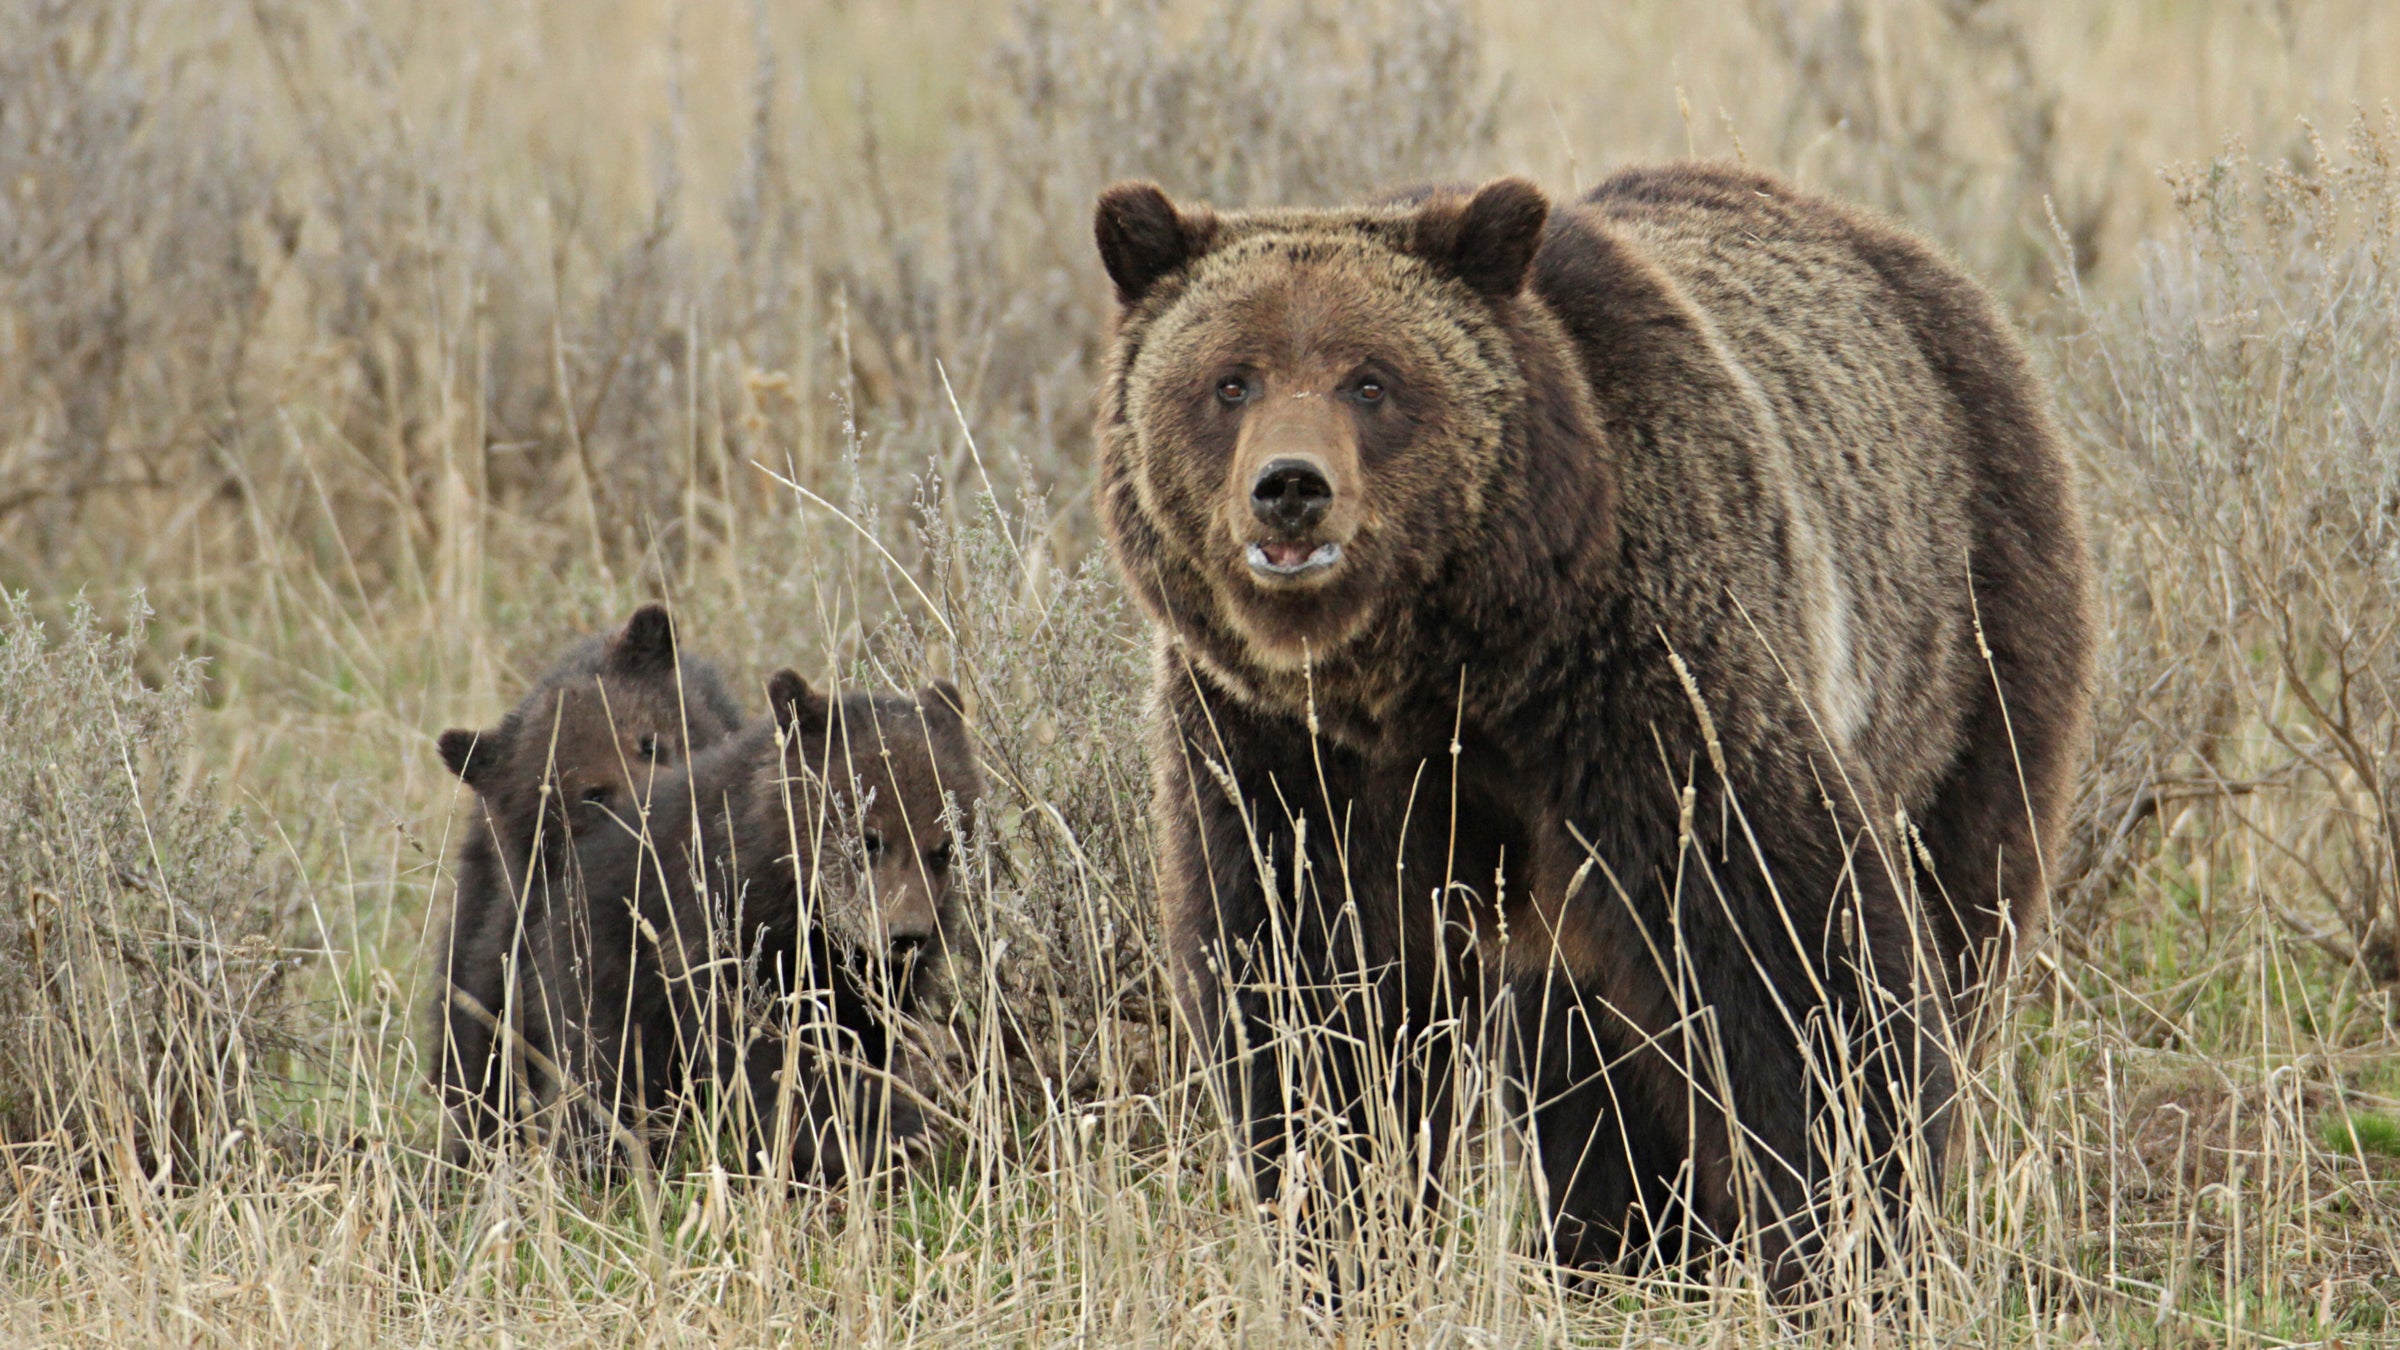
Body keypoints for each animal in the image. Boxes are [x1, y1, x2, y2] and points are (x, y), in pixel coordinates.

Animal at [544, 670, 980, 1180]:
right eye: (868, 838)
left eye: (943, 847)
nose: (907, 935)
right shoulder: (720, 933)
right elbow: (755, 1049)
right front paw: (872, 1135)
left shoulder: (875, 983)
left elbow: (863, 1036)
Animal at [1091, 162, 2092, 1287]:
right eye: (1232, 380)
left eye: (1372, 380)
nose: (1291, 489)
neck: (1441, 674)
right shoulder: (1276, 747)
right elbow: (1311, 985)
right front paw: (1342, 1235)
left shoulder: (1648, 684)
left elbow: (1796, 954)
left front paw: (1851, 1241)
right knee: (1580, 1042)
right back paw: (1615, 1236)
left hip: (1969, 631)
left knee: (1963, 903)